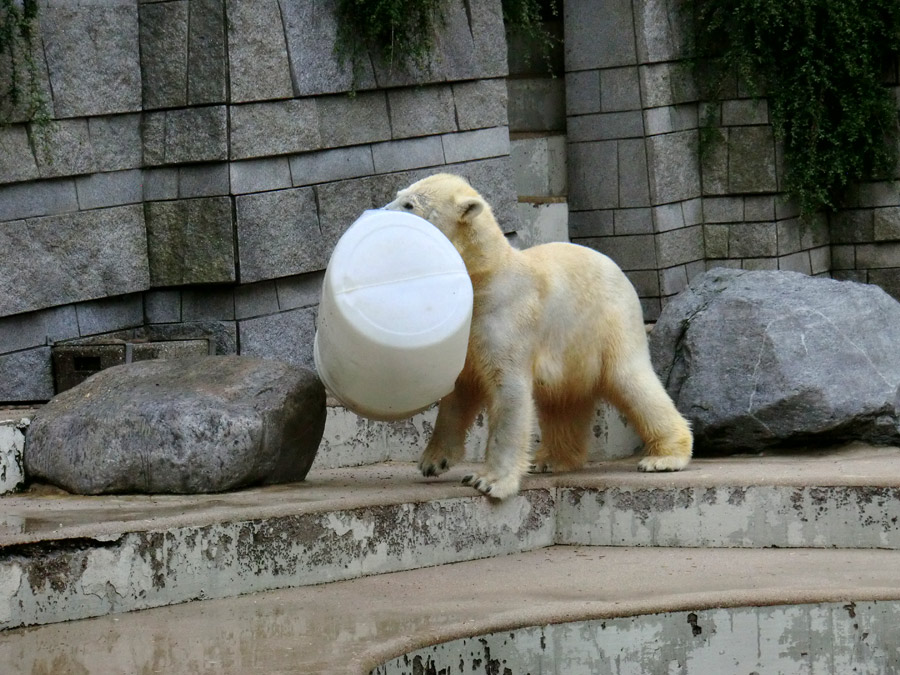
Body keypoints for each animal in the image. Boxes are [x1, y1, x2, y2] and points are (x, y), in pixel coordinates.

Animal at [384, 174, 692, 502]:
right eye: (399, 194)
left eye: (409, 204)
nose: (381, 212)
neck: (484, 278)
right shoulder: (466, 329)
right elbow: (459, 392)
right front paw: (433, 461)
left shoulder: (506, 318)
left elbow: (508, 392)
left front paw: (489, 481)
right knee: (562, 402)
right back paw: (550, 459)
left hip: (610, 322)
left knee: (631, 381)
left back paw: (664, 457)